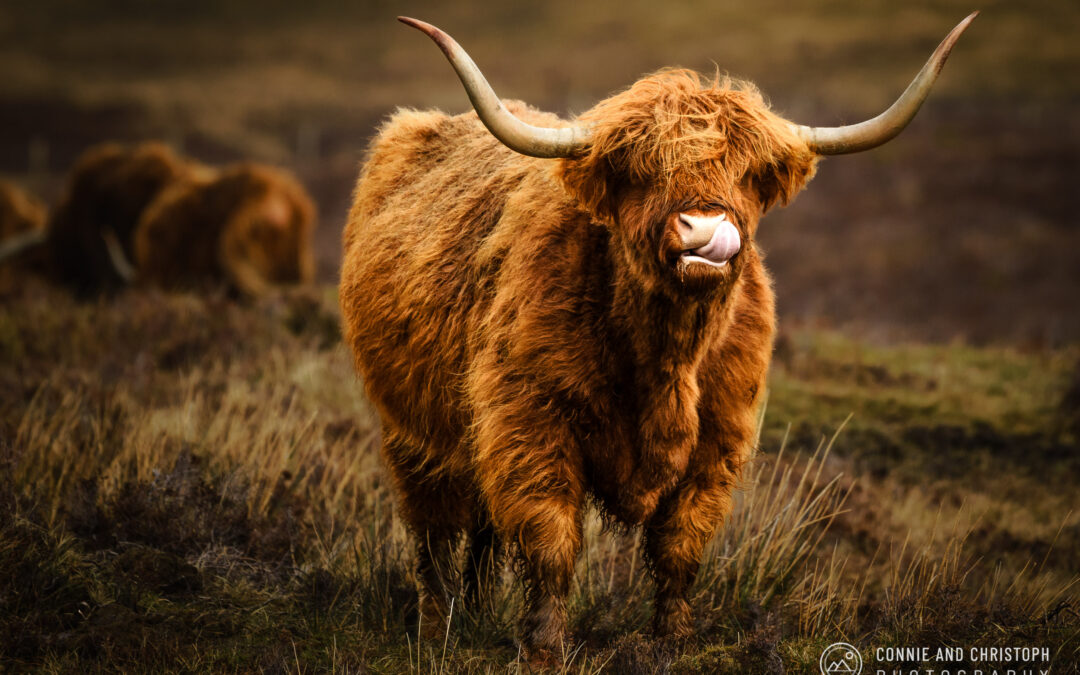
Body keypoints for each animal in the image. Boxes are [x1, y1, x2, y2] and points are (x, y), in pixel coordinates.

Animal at [339, 14, 976, 662]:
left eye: (747, 174)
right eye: (643, 173)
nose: (706, 229)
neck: (665, 357)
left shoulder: (718, 441)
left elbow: (679, 547)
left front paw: (675, 640)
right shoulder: (530, 424)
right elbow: (550, 540)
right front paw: (545, 648)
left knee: (481, 533)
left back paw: (472, 614)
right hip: (412, 433)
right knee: (434, 531)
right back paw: (435, 629)